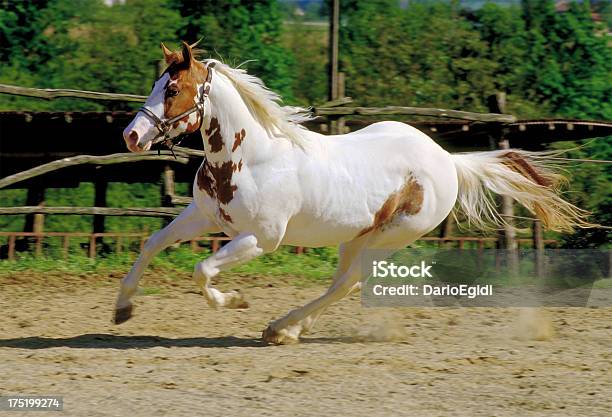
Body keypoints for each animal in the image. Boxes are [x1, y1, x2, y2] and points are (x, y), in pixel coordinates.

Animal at [116, 41, 588, 344]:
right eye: (156, 84)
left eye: (172, 89)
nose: (132, 136)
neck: (251, 157)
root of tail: (448, 160)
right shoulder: (203, 216)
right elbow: (152, 244)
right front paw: (122, 308)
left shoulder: (261, 240)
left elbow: (202, 270)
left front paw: (233, 300)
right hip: (356, 237)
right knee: (343, 284)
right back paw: (289, 329)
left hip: (388, 239)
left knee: (346, 284)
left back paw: (280, 328)